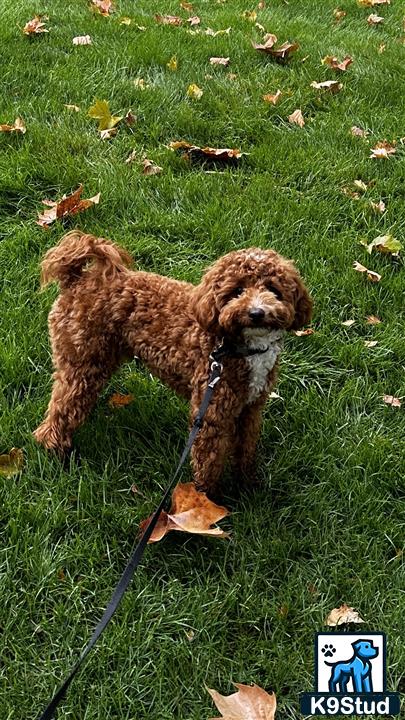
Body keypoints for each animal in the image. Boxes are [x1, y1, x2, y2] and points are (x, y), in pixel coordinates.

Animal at [34, 231, 312, 496]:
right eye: (237, 291)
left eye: (273, 289)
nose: (256, 313)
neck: (234, 345)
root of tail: (77, 279)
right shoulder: (211, 413)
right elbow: (208, 463)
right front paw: (207, 501)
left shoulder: (250, 408)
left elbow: (246, 448)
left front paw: (248, 483)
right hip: (82, 361)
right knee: (61, 407)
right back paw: (55, 448)